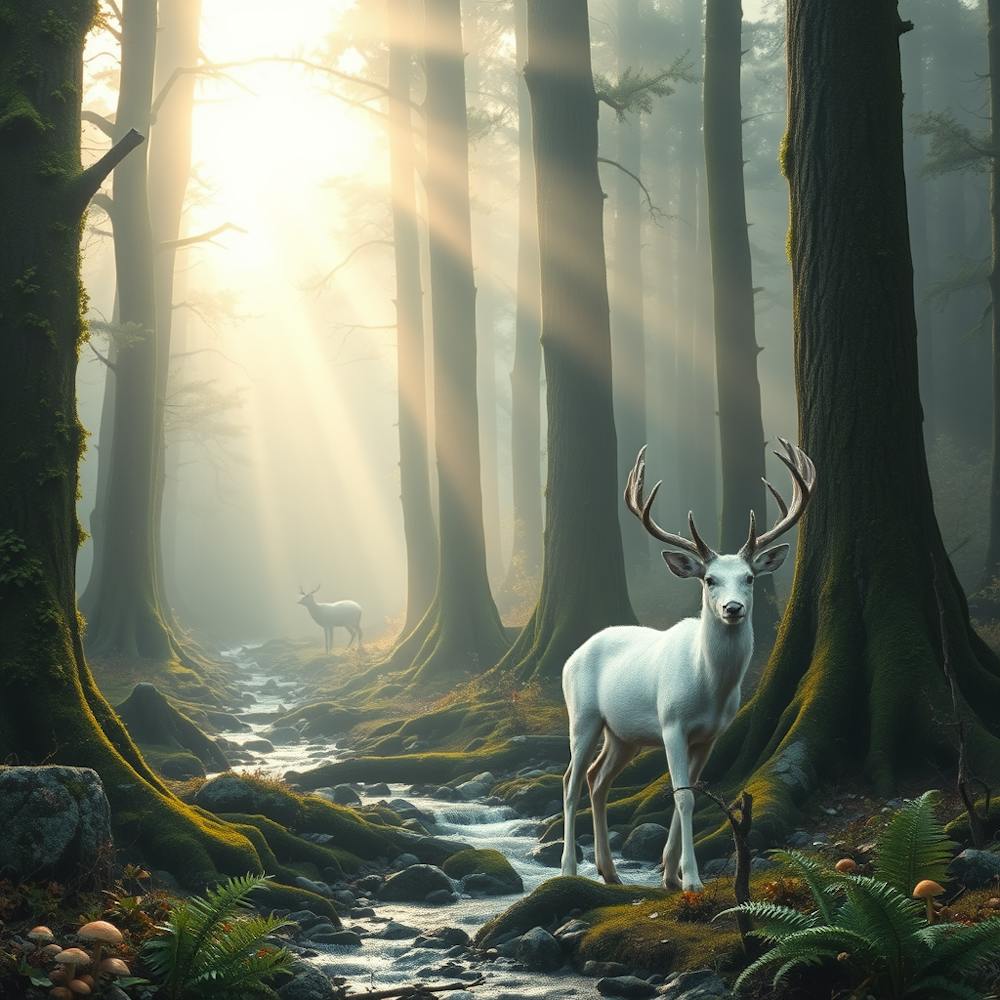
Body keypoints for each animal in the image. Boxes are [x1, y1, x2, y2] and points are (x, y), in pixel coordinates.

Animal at [560, 439, 815, 893]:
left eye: (749, 577)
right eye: (709, 579)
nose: (732, 608)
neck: (707, 686)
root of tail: (573, 654)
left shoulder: (710, 734)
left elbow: (694, 791)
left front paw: (670, 874)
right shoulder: (671, 723)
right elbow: (681, 795)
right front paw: (692, 880)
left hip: (622, 735)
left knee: (596, 779)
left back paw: (610, 871)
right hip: (583, 715)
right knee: (570, 781)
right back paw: (570, 869)